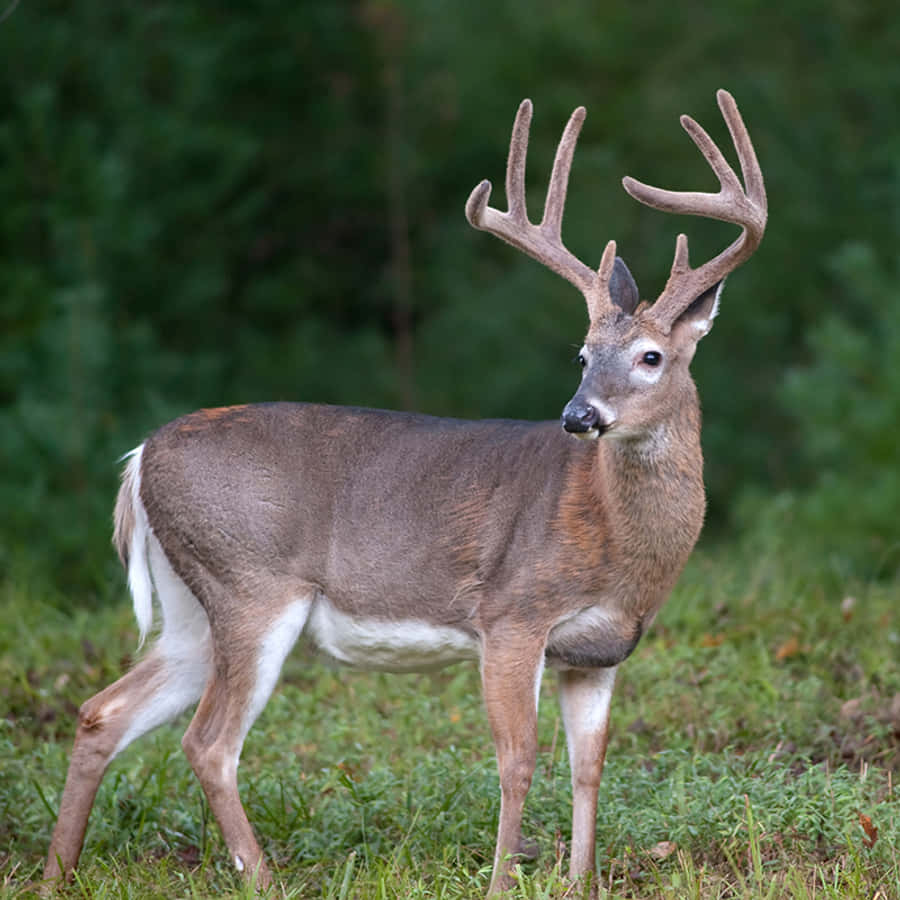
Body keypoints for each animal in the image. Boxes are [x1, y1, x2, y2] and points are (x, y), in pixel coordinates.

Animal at [43, 89, 766, 896]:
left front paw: (580, 880)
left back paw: (56, 872)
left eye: (650, 357)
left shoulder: (599, 653)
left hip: (192, 609)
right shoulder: (511, 614)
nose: (579, 416)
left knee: (103, 711)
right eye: (581, 355)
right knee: (208, 742)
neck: (616, 542)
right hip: (250, 584)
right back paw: (263, 877)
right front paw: (501, 881)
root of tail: (140, 457)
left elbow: (590, 768)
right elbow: (517, 761)